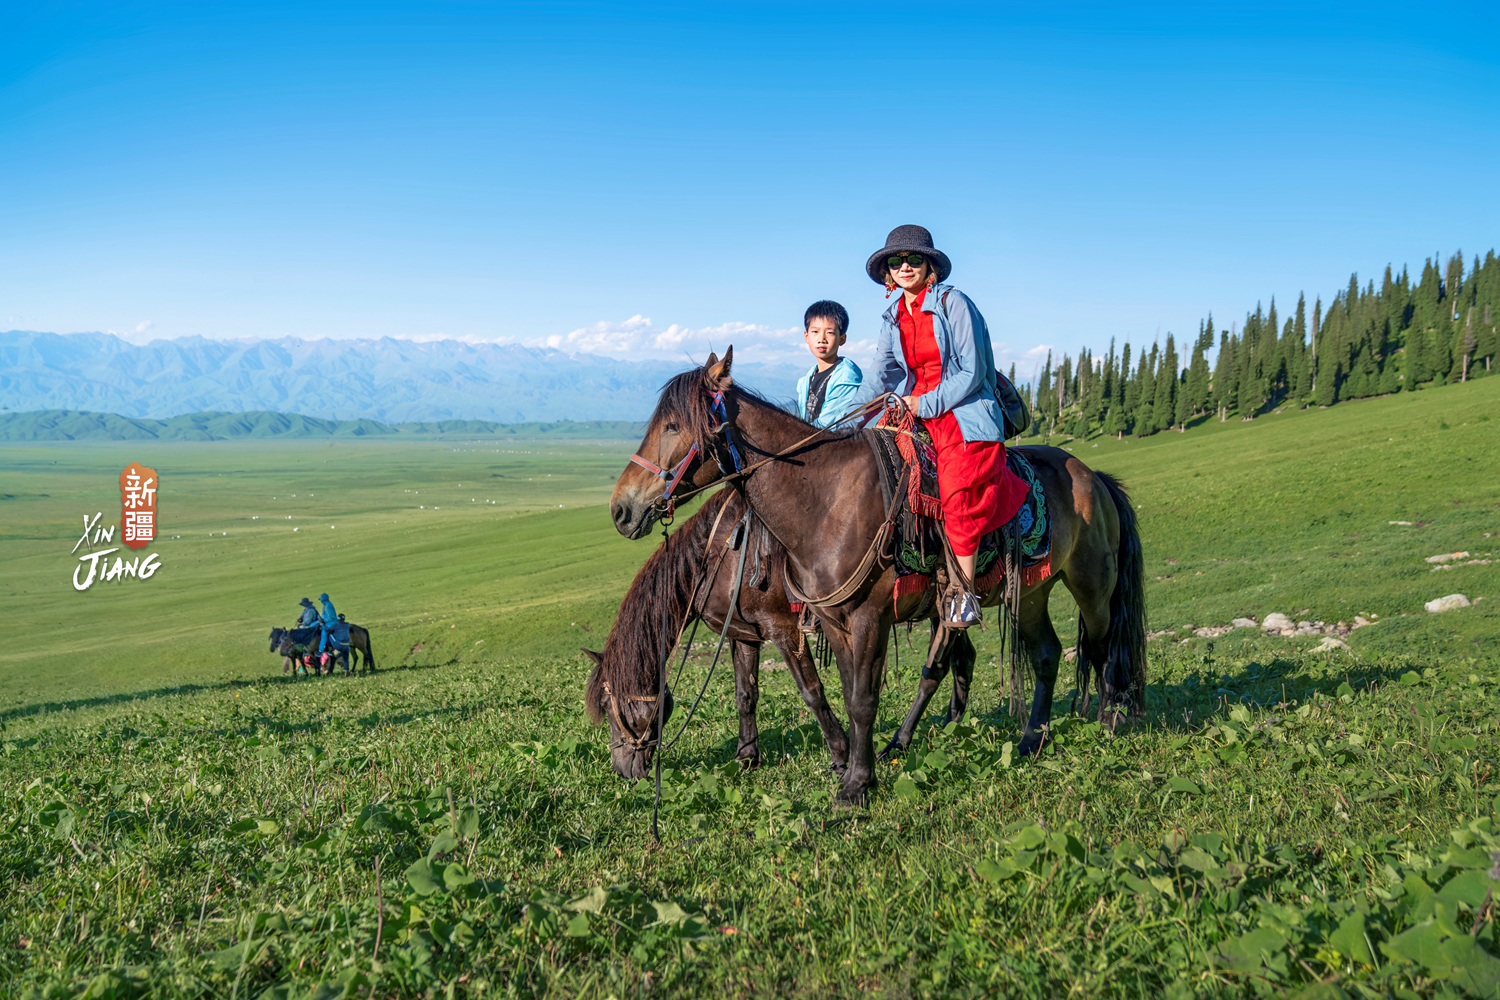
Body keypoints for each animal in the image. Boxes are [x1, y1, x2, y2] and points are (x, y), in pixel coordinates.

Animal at [579, 488, 978, 779]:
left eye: (607, 706)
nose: (623, 770)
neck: (722, 557)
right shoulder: (743, 634)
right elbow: (745, 695)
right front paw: (747, 758)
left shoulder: (784, 630)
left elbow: (812, 692)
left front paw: (841, 755)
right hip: (944, 609)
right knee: (961, 658)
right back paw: (951, 726)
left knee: (935, 670)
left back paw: (900, 742)